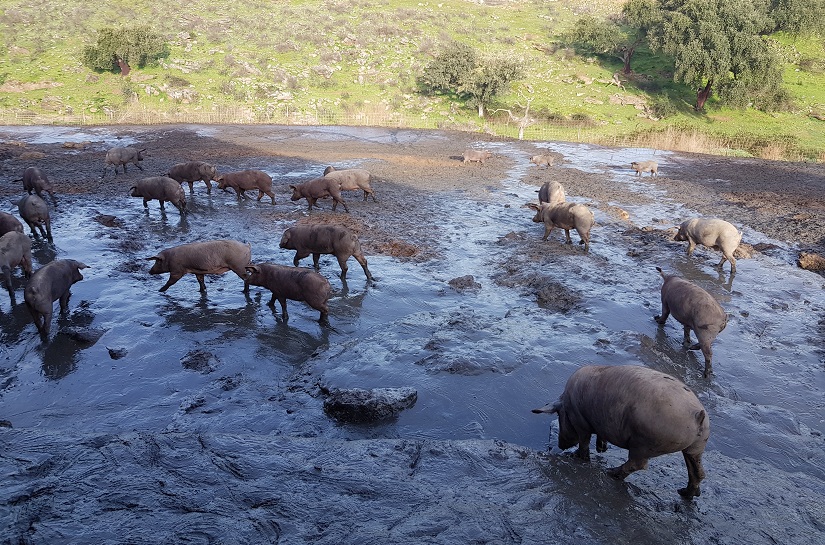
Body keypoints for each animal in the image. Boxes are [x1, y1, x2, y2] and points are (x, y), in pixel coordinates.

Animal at [532, 364, 712, 500]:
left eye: (558, 415)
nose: (561, 446)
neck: (567, 404)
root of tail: (697, 414)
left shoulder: (580, 421)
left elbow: (584, 442)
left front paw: (578, 457)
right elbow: (599, 436)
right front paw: (601, 449)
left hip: (644, 443)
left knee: (638, 464)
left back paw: (611, 473)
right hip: (696, 446)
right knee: (698, 471)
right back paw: (685, 493)